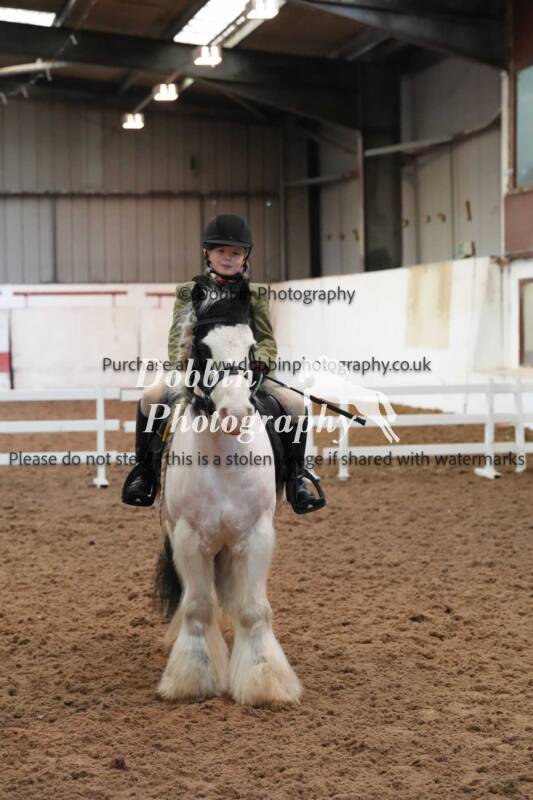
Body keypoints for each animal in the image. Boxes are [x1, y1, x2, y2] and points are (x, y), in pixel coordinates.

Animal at [153, 277, 302, 706]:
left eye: (251, 348)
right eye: (203, 349)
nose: (234, 413)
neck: (223, 458)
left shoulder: (256, 534)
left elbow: (253, 608)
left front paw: (264, 682)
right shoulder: (188, 536)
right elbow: (198, 607)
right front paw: (192, 679)